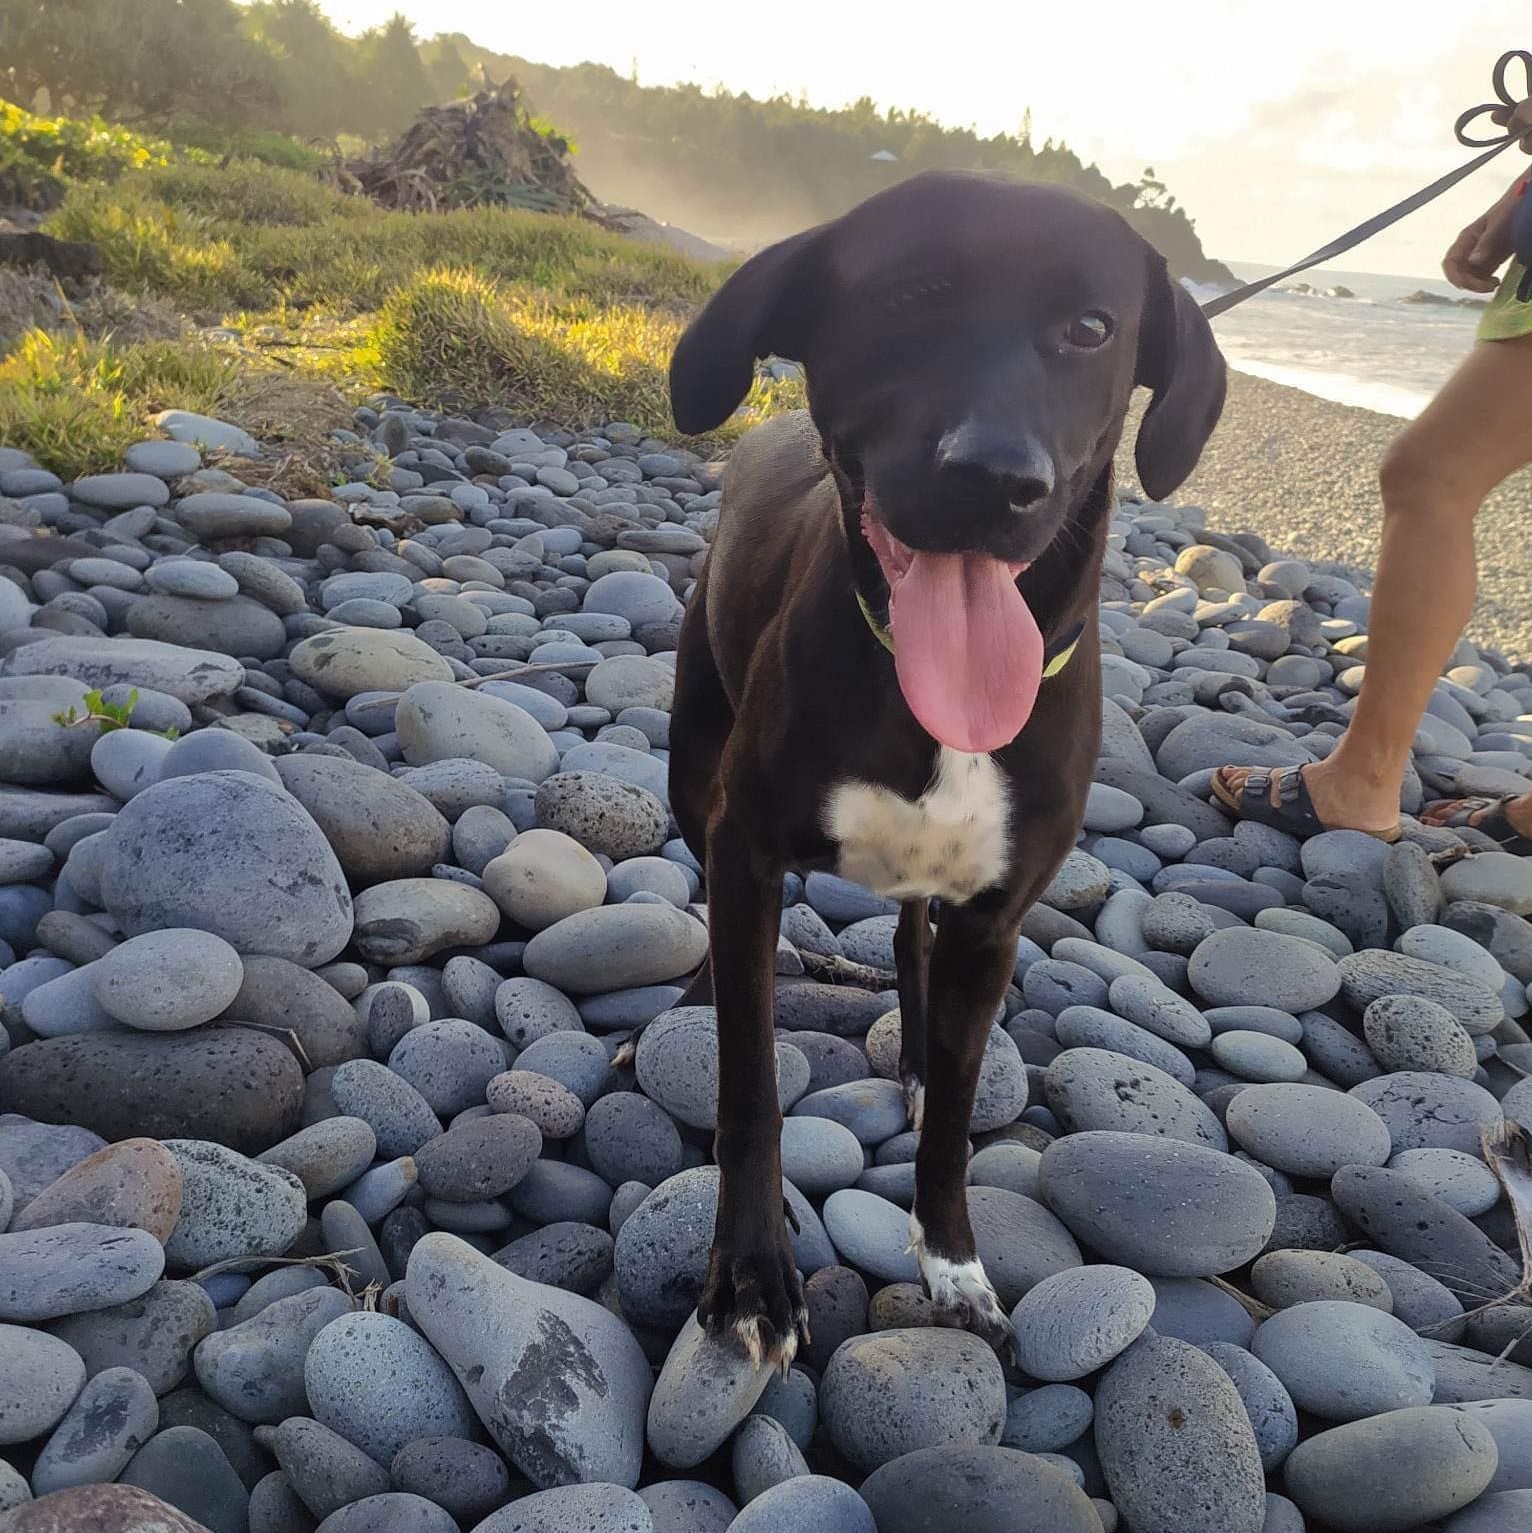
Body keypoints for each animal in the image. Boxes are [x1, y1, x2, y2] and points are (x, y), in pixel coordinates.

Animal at [665, 173, 1226, 1373]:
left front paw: (955, 1261)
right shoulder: (747, 848)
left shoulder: (994, 919)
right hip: (693, 765)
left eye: (1090, 329)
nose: (992, 479)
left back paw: (916, 1056)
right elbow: (752, 1087)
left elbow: (962, 1116)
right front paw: (751, 1272)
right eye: (908, 295)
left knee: (909, 937)